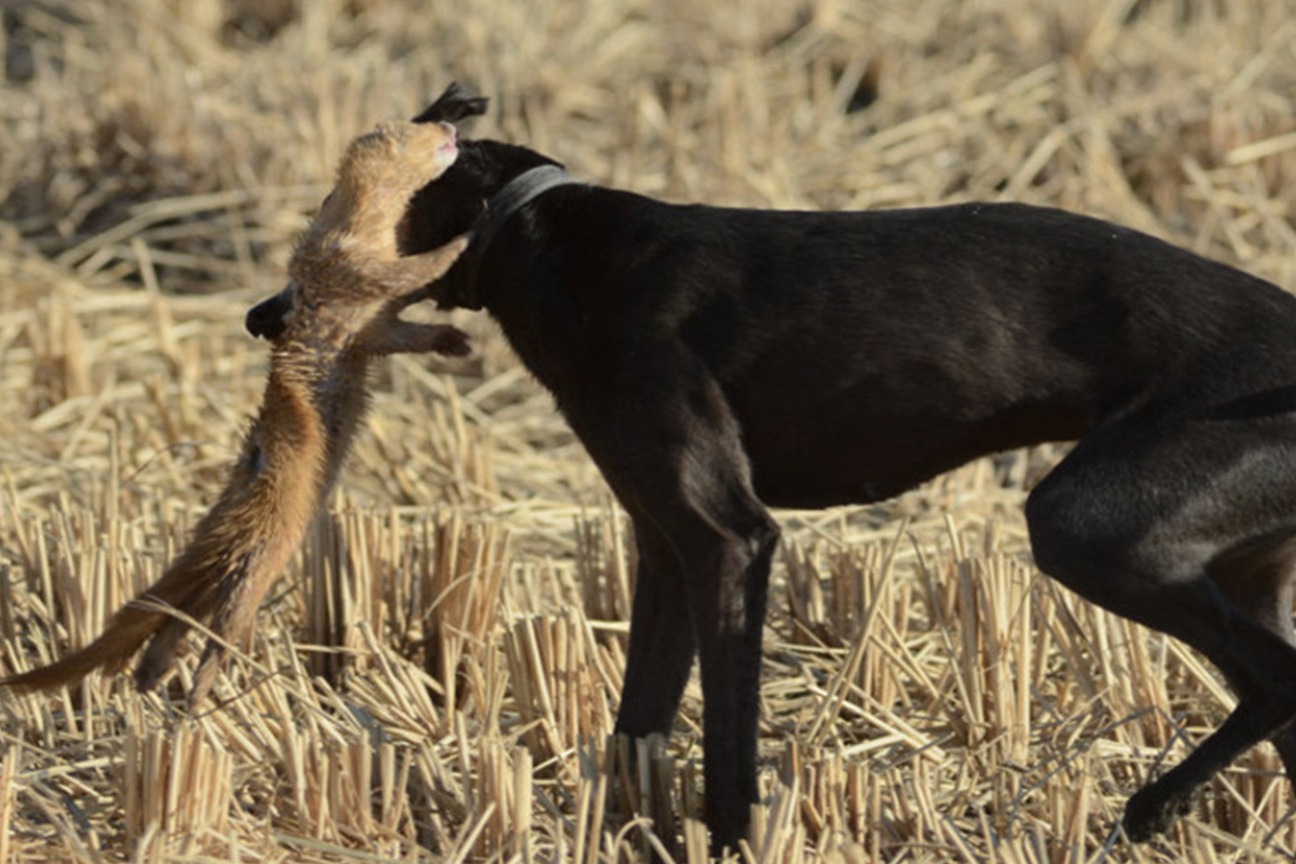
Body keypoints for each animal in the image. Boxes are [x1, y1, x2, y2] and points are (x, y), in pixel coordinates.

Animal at [247, 84, 1296, 854]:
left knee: (1274, 681)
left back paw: (1150, 810)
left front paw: (728, 841)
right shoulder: (663, 547)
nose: (267, 318)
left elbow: (727, 745)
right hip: (1224, 558)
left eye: (342, 218)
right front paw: (629, 835)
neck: (542, 239)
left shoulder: (729, 539)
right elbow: (637, 725)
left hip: (1090, 525)